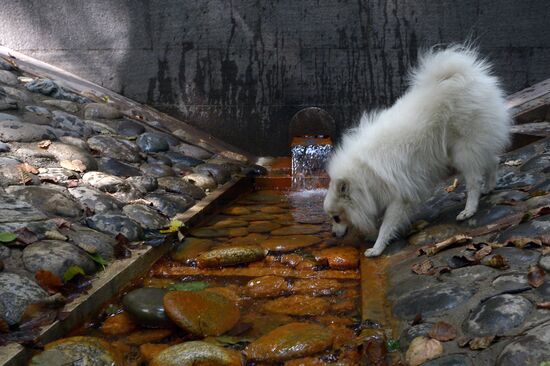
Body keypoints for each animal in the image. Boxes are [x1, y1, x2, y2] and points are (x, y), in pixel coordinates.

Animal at [326, 45, 512, 256]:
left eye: (336, 217)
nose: (333, 234)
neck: (363, 178)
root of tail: (463, 74)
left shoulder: (399, 196)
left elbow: (387, 225)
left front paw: (377, 248)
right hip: (466, 146)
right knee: (493, 160)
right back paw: (489, 187)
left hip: (463, 149)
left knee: (474, 180)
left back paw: (469, 210)